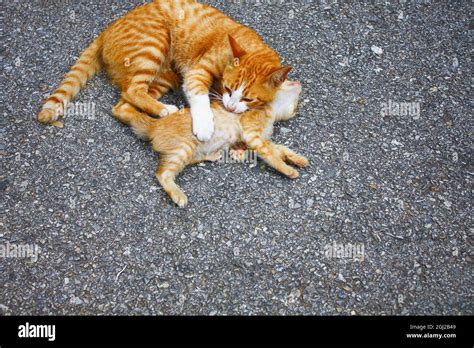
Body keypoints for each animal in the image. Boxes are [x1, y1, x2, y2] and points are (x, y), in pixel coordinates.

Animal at [38, 0, 292, 141]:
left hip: (164, 77)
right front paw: (205, 124)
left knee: (122, 106)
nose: (229, 106)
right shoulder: (197, 72)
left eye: (248, 98)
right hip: (154, 43)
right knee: (132, 91)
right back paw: (165, 110)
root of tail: (108, 28)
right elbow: (200, 98)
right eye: (229, 88)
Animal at [113, 81, 310, 207]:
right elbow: (272, 155)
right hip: (184, 147)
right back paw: (177, 194)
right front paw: (287, 168)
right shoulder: (253, 135)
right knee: (162, 173)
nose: (299, 83)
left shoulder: (258, 139)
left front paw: (297, 158)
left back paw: (213, 155)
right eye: (286, 80)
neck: (271, 114)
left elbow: (280, 148)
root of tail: (154, 124)